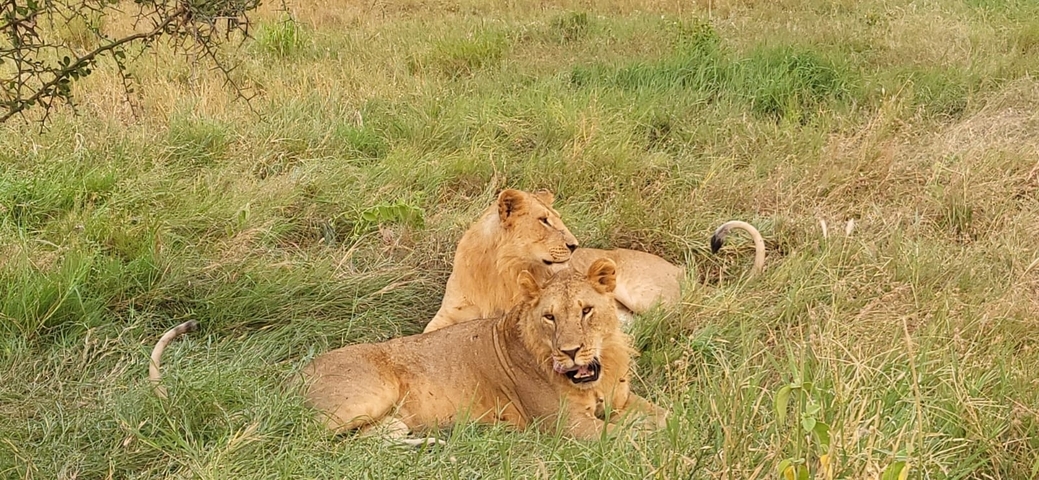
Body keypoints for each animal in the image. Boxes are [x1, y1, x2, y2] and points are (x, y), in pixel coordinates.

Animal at [302, 259, 667, 441]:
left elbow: (664, 416)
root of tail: (298, 374)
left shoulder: (622, 402)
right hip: (368, 396)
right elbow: (629, 439)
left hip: (392, 422)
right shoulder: (569, 427)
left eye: (586, 311)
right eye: (549, 317)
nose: (571, 351)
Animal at [423, 189, 765, 333]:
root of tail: (682, 270)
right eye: (545, 221)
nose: (574, 245)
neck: (498, 268)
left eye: (557, 218)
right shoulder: (448, 314)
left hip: (643, 292)